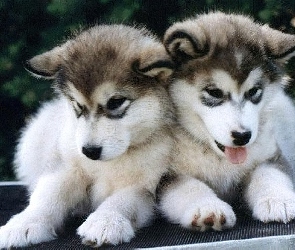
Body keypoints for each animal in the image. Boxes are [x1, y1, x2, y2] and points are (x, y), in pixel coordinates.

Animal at [158, 12, 295, 232]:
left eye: (254, 91)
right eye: (214, 92)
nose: (242, 136)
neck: (218, 158)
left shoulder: (270, 155)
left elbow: (269, 174)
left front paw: (278, 200)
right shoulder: (164, 176)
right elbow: (189, 187)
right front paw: (208, 207)